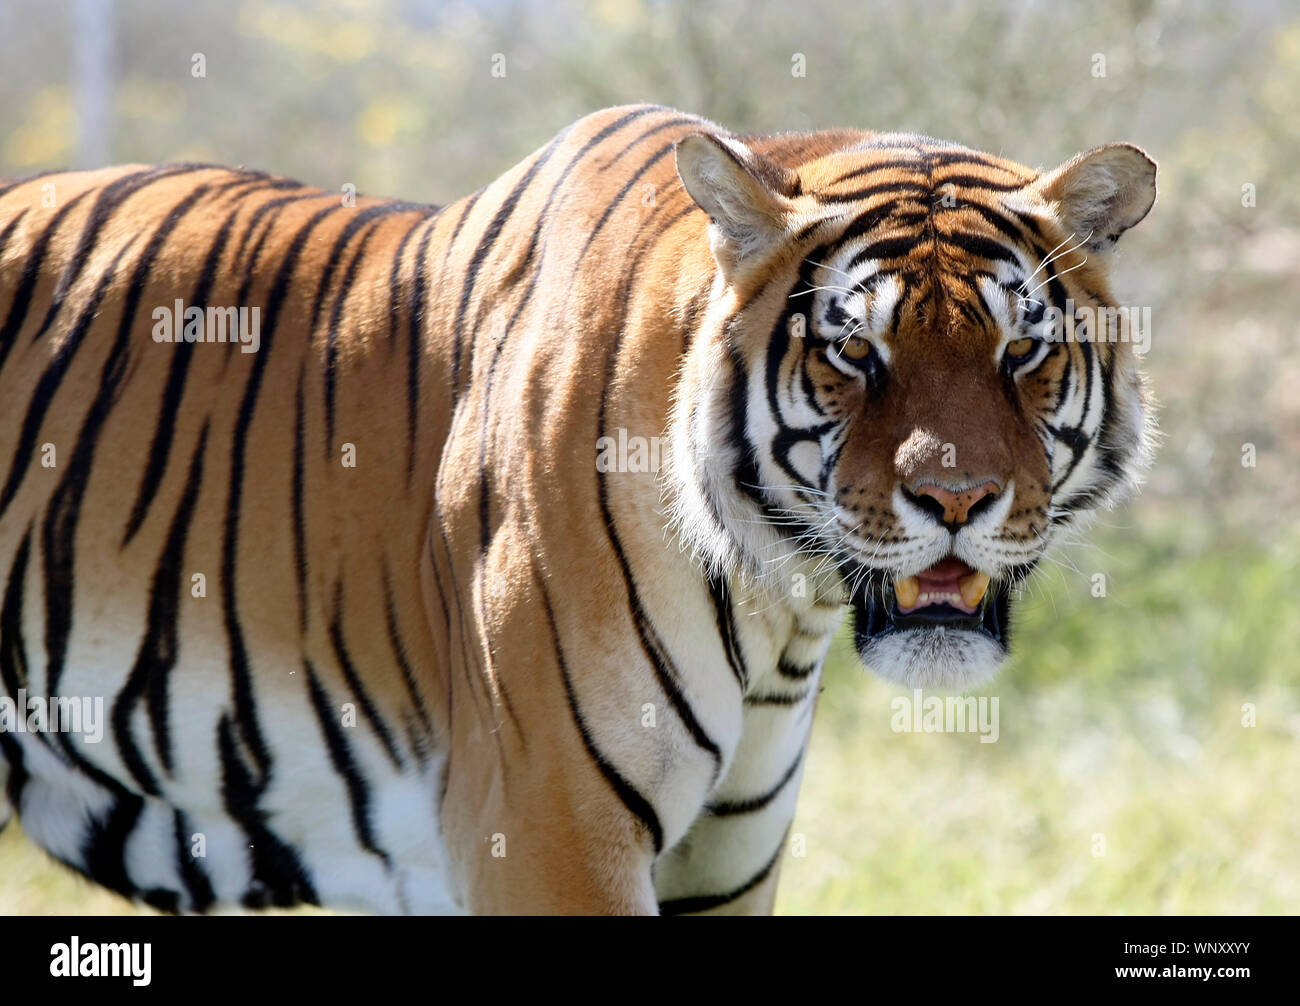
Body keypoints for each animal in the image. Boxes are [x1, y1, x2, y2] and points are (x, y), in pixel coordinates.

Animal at [0, 103, 1156, 915]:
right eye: (853, 350)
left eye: (1022, 350)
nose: (957, 498)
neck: (781, 609)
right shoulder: (548, 831)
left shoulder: (724, 866)